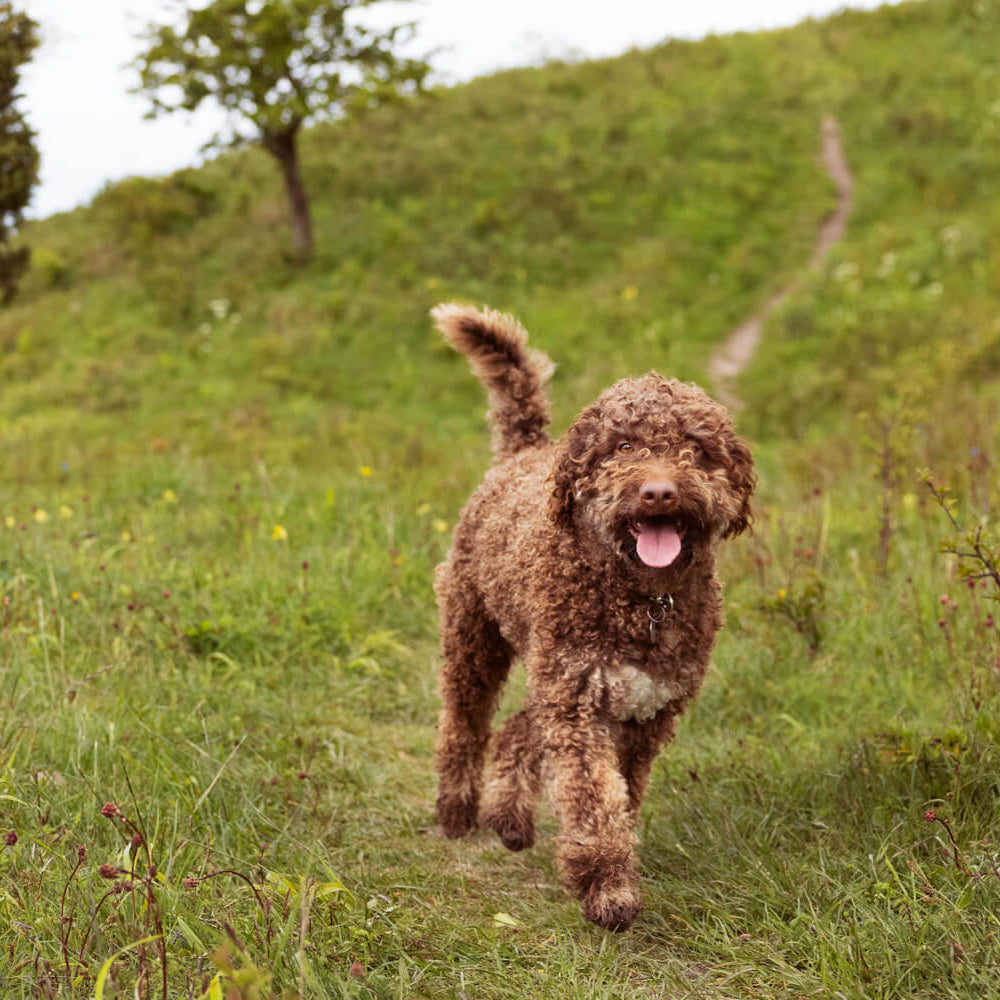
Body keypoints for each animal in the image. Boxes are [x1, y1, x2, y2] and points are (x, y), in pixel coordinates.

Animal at [434, 302, 752, 928]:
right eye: (623, 447)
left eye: (696, 447)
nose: (658, 493)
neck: (642, 599)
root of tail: (524, 451)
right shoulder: (581, 709)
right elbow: (592, 799)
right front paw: (607, 887)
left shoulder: (642, 716)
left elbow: (619, 796)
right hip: (474, 637)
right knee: (465, 723)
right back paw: (456, 810)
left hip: (547, 673)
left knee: (517, 728)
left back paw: (509, 818)